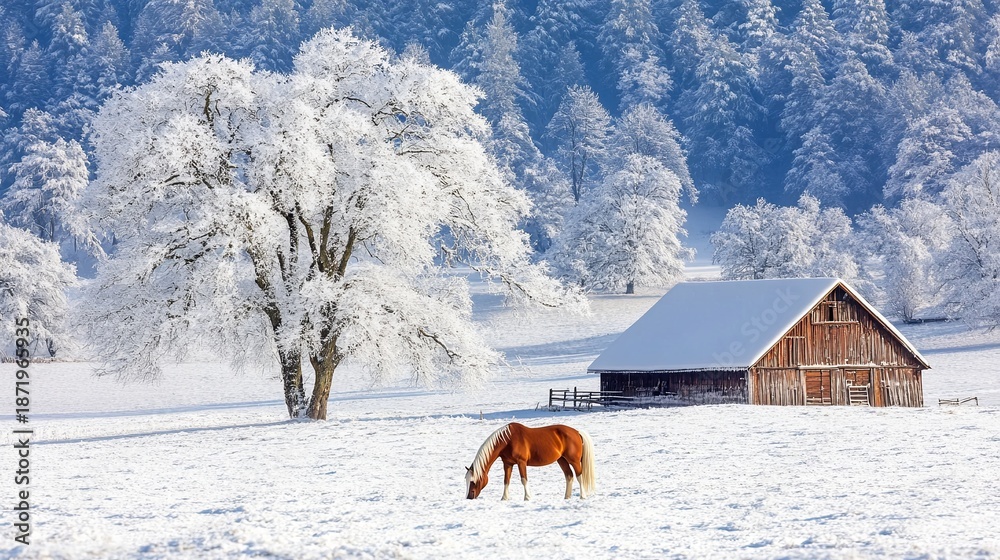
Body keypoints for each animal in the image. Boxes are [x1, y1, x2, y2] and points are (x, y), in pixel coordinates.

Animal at [465, 422, 596, 501]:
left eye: (473, 481)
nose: (469, 497)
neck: (507, 440)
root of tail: (577, 432)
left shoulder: (521, 462)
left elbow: (524, 479)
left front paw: (527, 497)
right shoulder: (508, 464)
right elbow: (506, 481)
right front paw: (504, 498)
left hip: (574, 461)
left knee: (579, 476)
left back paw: (582, 496)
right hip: (561, 460)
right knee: (569, 476)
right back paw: (566, 497)